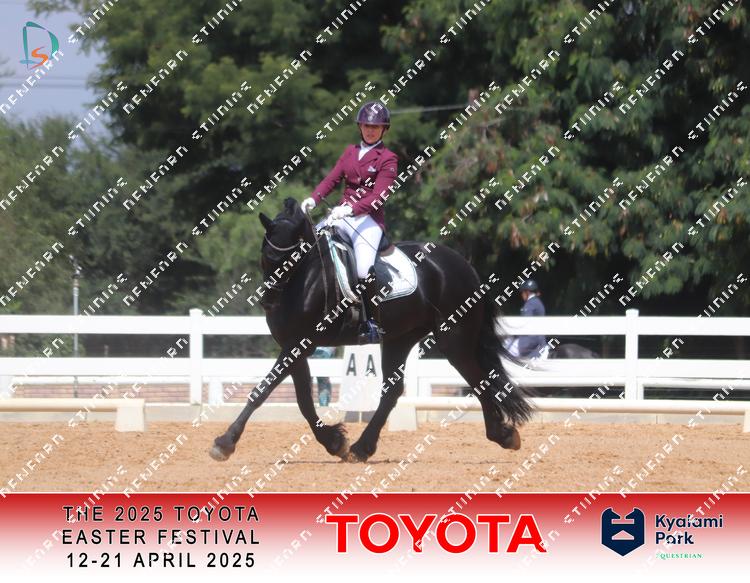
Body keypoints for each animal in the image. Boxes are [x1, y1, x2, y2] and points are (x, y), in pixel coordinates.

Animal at [210, 198, 533, 463]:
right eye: (266, 256)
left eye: (293, 258)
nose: (268, 302)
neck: (304, 279)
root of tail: (462, 264)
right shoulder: (294, 346)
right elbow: (302, 400)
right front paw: (334, 442)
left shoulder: (299, 344)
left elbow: (263, 391)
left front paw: (225, 443)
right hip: (400, 339)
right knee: (393, 391)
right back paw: (361, 448)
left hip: (454, 338)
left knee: (478, 380)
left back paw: (503, 435)